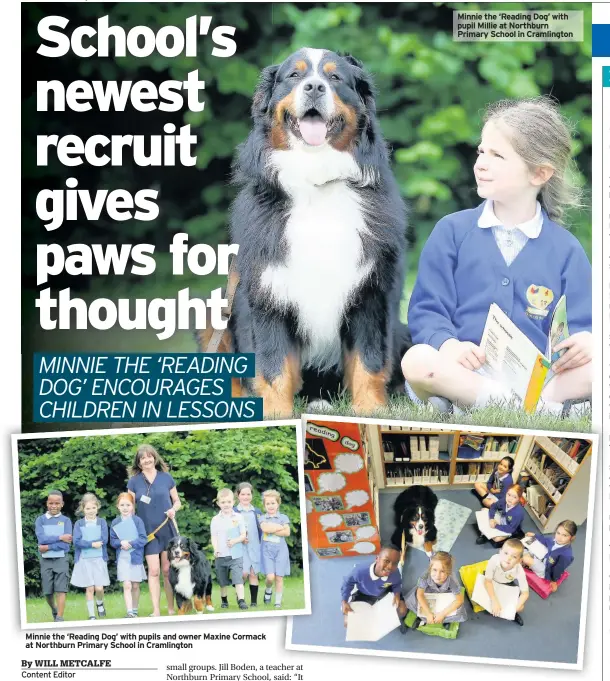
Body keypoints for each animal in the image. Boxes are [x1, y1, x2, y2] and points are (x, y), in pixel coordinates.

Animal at [221, 46, 406, 414]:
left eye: (335, 78)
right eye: (295, 75)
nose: (315, 87)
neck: (316, 181)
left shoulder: (371, 291)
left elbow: (368, 361)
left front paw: (370, 411)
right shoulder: (267, 293)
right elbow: (273, 366)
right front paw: (275, 415)